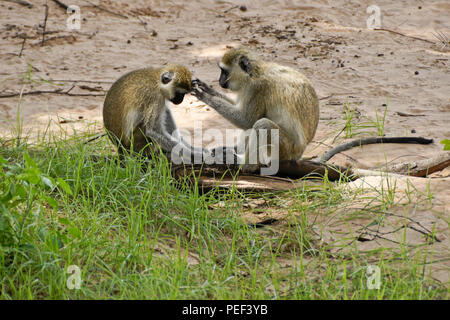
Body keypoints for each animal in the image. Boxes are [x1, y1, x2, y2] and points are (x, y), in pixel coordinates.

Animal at [193, 46, 320, 174]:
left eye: (224, 72)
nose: (219, 80)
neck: (254, 73)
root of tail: (299, 154)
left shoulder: (257, 87)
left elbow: (246, 120)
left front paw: (206, 97)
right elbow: (240, 110)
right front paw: (209, 90)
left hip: (286, 150)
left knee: (262, 124)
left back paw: (246, 165)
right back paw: (234, 150)